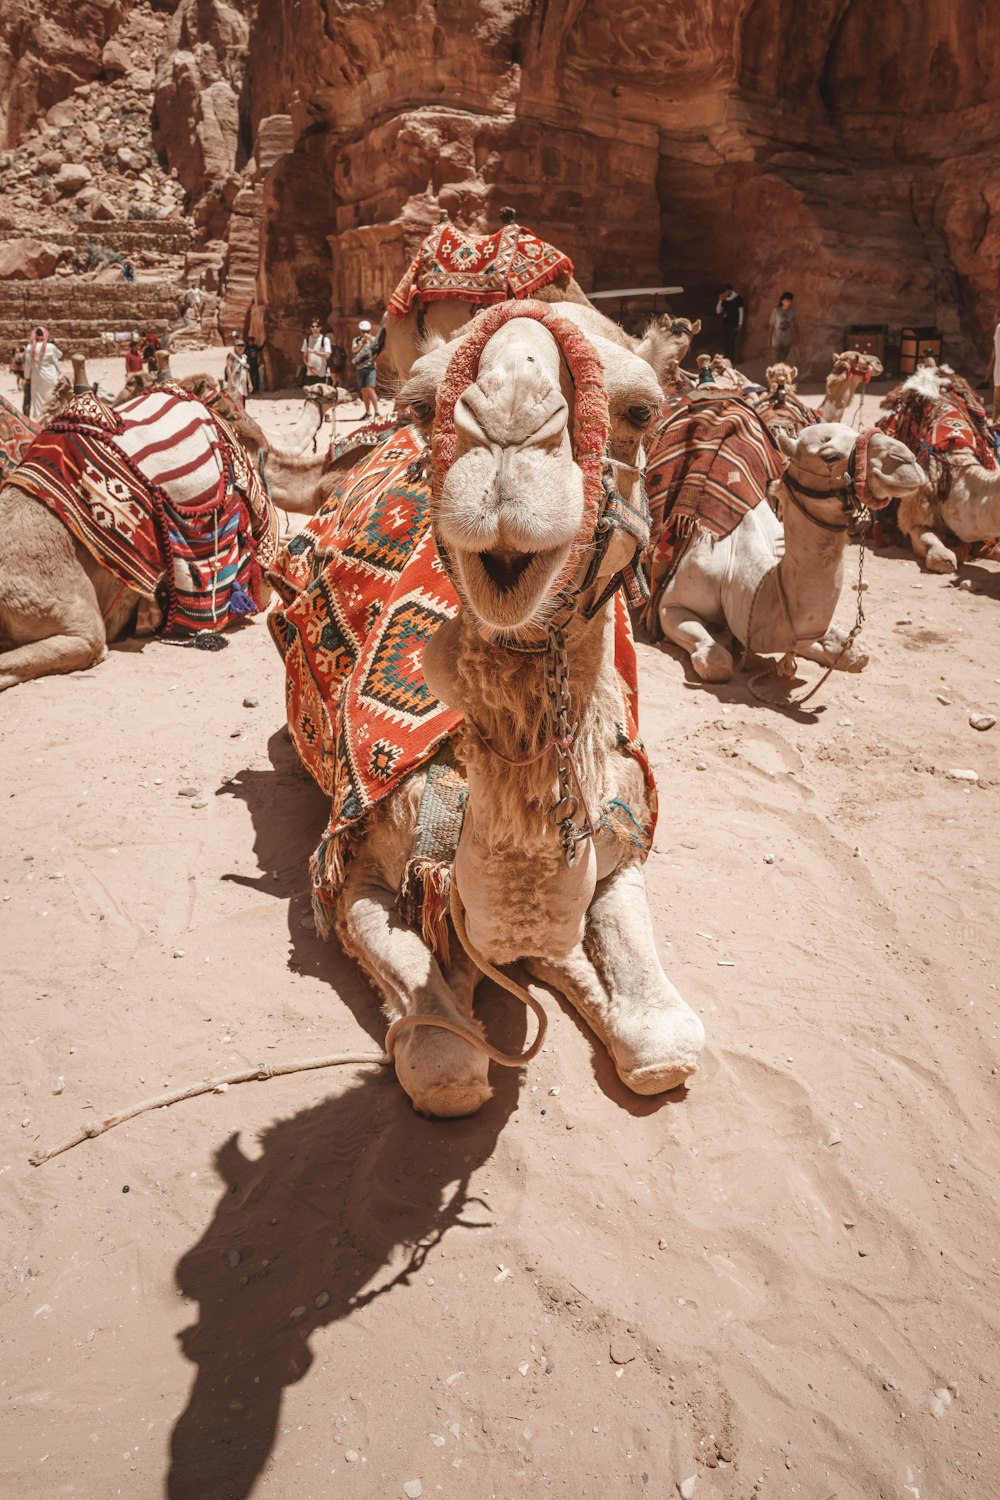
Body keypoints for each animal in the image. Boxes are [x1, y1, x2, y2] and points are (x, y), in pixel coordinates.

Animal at [268, 298, 704, 1116]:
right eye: (419, 404)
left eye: (641, 410)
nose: (508, 420)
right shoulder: (355, 873)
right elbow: (445, 1058)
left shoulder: (620, 842)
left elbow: (661, 1037)